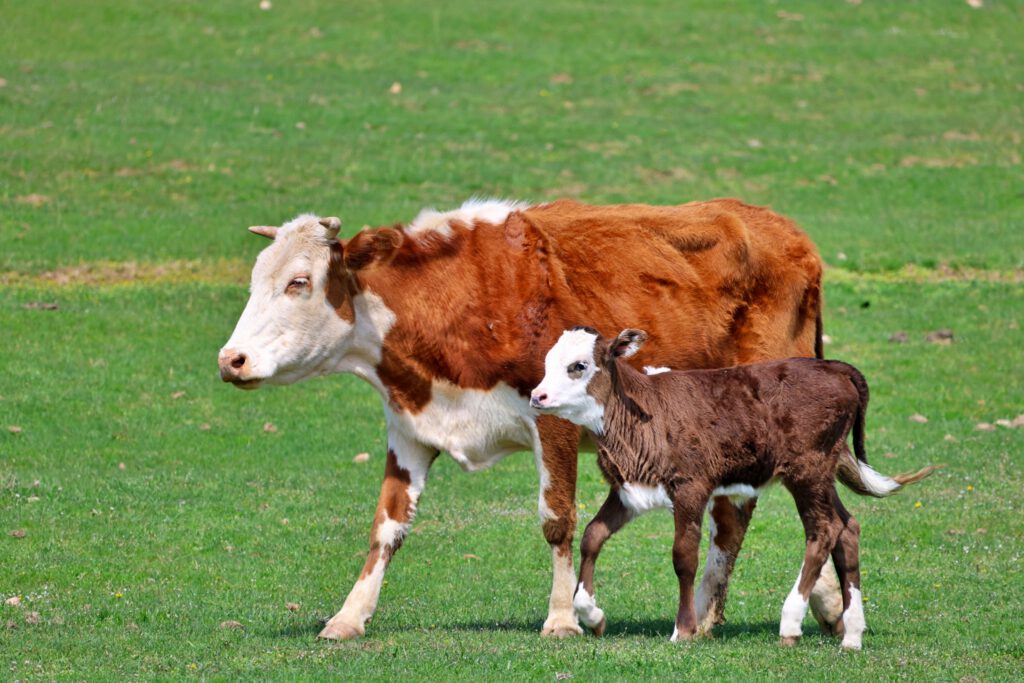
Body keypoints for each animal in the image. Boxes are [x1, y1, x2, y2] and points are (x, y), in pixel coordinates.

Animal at [220, 196, 835, 643]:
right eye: (255, 282)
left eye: (299, 282)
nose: (231, 359)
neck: (456, 301)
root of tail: (791, 238)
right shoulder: (410, 428)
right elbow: (386, 528)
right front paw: (348, 618)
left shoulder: (554, 421)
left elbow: (558, 520)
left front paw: (562, 619)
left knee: (747, 514)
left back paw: (715, 615)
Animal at [528, 327, 937, 651]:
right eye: (547, 363)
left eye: (578, 366)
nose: (537, 396)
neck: (643, 414)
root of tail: (834, 367)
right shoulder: (628, 491)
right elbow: (592, 536)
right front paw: (592, 614)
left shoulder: (691, 487)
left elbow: (683, 557)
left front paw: (683, 630)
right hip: (823, 471)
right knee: (848, 527)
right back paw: (852, 635)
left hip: (807, 469)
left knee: (824, 530)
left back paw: (790, 623)